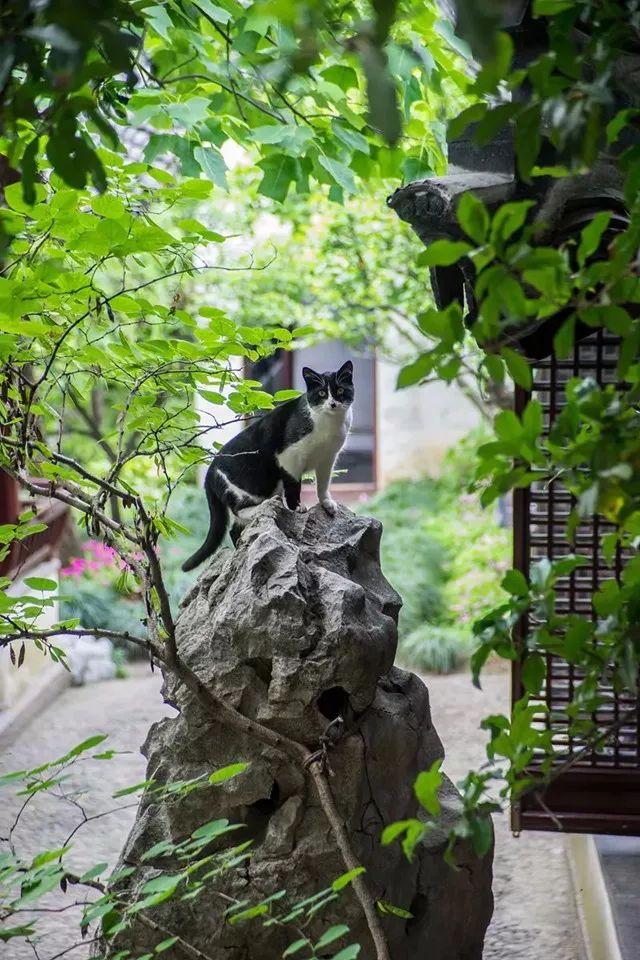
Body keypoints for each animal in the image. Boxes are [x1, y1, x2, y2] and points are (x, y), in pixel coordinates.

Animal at [182, 360, 356, 568]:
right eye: (322, 393)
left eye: (340, 390)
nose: (332, 403)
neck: (329, 425)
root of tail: (209, 473)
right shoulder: (289, 456)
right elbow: (293, 485)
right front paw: (297, 508)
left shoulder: (328, 458)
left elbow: (323, 484)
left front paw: (327, 503)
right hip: (252, 487)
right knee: (240, 510)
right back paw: (265, 506)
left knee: (235, 528)